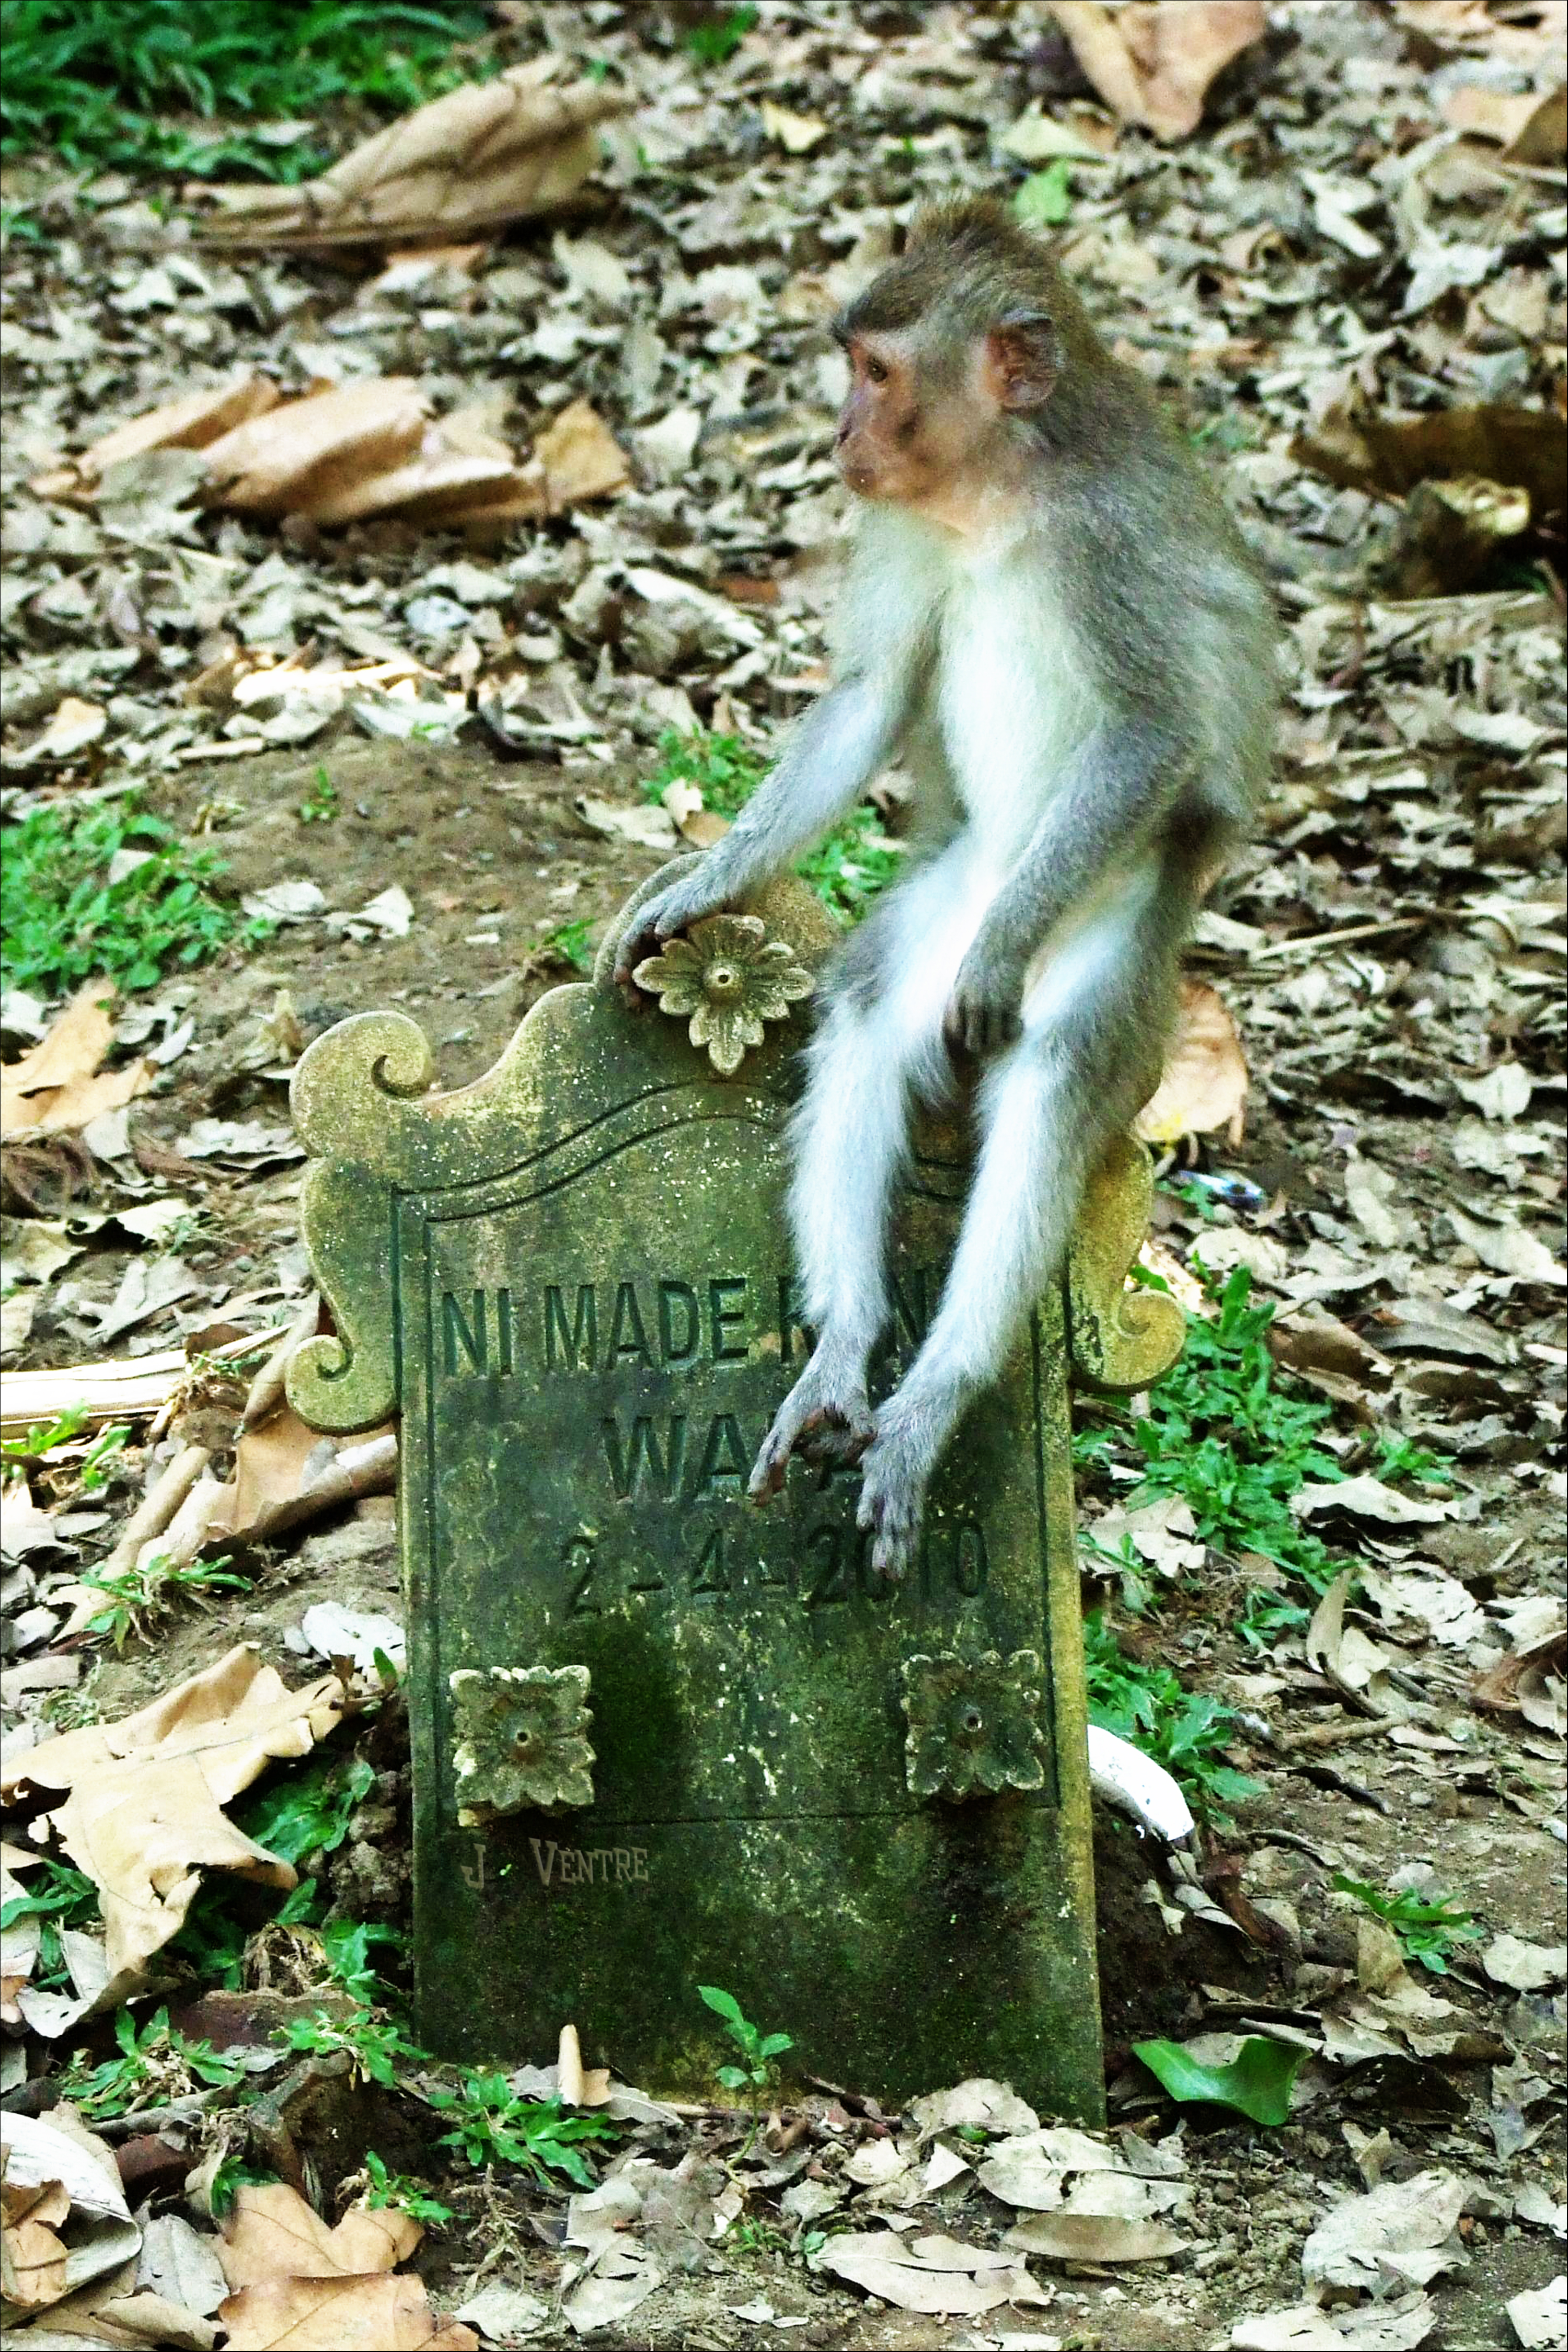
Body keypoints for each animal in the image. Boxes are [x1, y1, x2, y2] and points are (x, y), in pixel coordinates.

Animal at [611, 193, 1278, 1571]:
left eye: (873, 372)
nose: (837, 433)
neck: (998, 497)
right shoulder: (906, 528)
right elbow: (870, 703)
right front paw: (706, 882)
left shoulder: (1108, 546)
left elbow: (1150, 734)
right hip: (952, 889)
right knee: (869, 1009)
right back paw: (845, 1354)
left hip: (1105, 923)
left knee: (1053, 1072)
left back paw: (932, 1399)